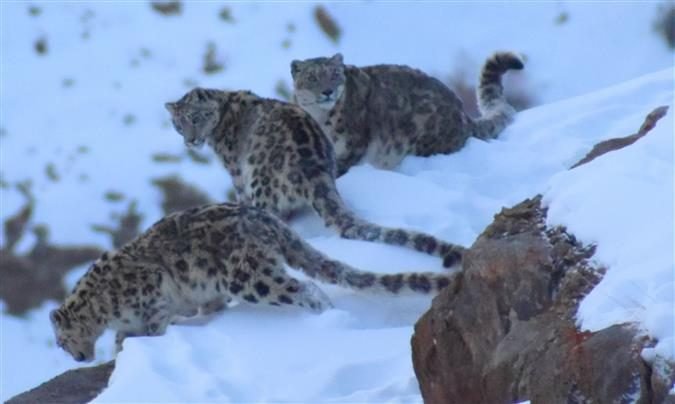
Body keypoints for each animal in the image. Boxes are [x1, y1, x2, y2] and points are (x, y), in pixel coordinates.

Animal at [50, 203, 456, 362]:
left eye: (60, 341)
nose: (78, 357)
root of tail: (266, 219)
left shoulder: (153, 298)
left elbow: (149, 325)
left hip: (250, 278)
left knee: (304, 290)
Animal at [164, 88, 465, 268]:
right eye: (178, 125)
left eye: (195, 117)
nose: (190, 141)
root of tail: (313, 169)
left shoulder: (237, 176)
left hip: (260, 186)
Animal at [291, 52, 524, 176]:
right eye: (312, 77)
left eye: (335, 74)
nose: (327, 91)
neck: (321, 119)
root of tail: (463, 114)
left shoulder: (351, 146)